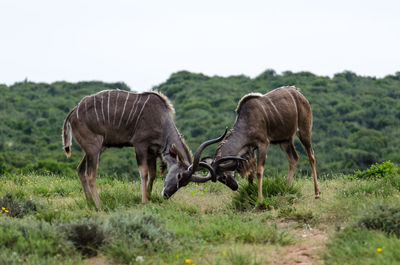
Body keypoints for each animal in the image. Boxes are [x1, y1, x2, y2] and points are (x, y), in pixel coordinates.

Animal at [61, 89, 227, 207]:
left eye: (185, 183)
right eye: (179, 176)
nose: (166, 194)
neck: (161, 119)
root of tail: (73, 113)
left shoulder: (152, 151)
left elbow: (153, 174)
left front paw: (150, 196)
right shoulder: (140, 145)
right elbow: (144, 172)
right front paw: (144, 201)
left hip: (98, 148)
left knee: (80, 169)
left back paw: (89, 202)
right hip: (94, 148)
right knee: (90, 174)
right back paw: (99, 205)